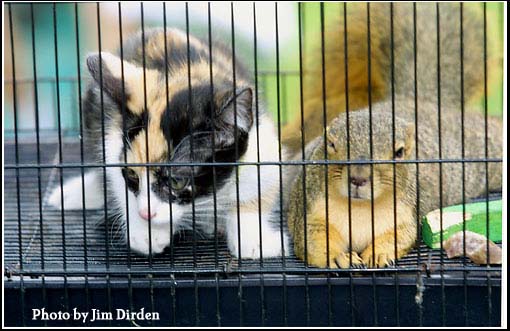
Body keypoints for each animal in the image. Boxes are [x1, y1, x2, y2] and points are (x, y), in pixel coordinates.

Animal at [49, 28, 288, 260]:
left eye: (176, 182)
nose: (146, 213)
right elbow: (116, 176)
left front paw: (255, 239)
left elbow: (260, 184)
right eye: (132, 175)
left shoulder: (262, 142)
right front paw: (145, 231)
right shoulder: (112, 137)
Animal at [286, 102, 502, 270]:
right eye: (330, 144)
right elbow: (312, 238)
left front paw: (379, 253)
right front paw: (338, 257)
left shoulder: (407, 214)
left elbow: (401, 236)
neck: (360, 208)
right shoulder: (310, 211)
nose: (358, 178)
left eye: (399, 152)